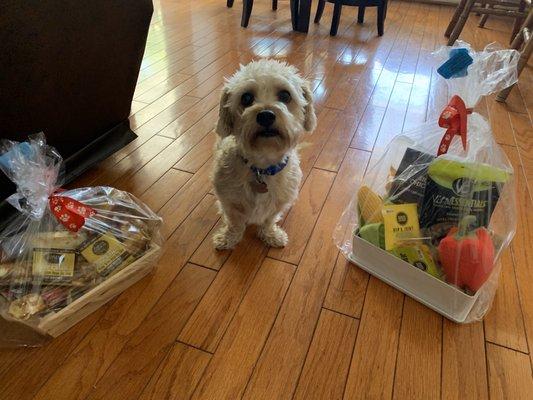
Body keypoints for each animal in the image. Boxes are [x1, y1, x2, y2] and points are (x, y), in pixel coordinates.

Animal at [210, 58, 314, 250]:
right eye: (246, 98)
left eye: (285, 95)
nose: (266, 115)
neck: (262, 165)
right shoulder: (229, 201)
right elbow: (235, 223)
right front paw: (229, 238)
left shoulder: (279, 202)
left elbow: (268, 220)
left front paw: (270, 235)